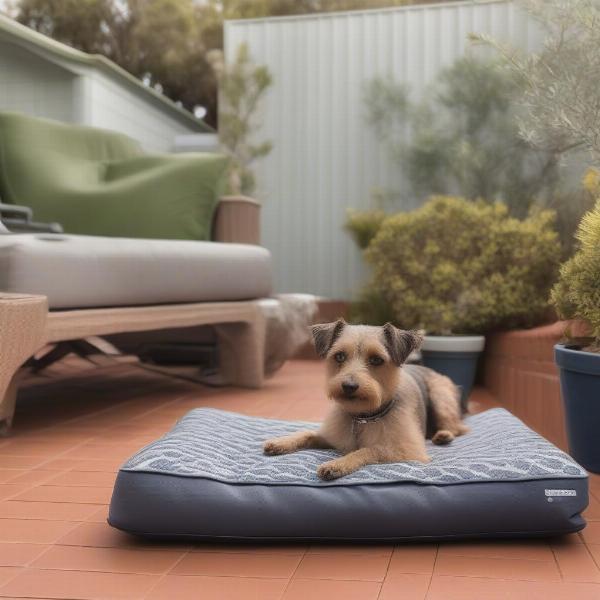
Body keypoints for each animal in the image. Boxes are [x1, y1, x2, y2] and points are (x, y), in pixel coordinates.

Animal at [264, 322, 468, 480]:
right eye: (339, 356)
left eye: (376, 359)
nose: (348, 386)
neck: (362, 417)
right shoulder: (331, 437)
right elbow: (306, 433)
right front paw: (281, 442)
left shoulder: (407, 451)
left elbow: (368, 449)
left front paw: (338, 463)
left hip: (440, 396)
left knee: (459, 428)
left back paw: (443, 435)